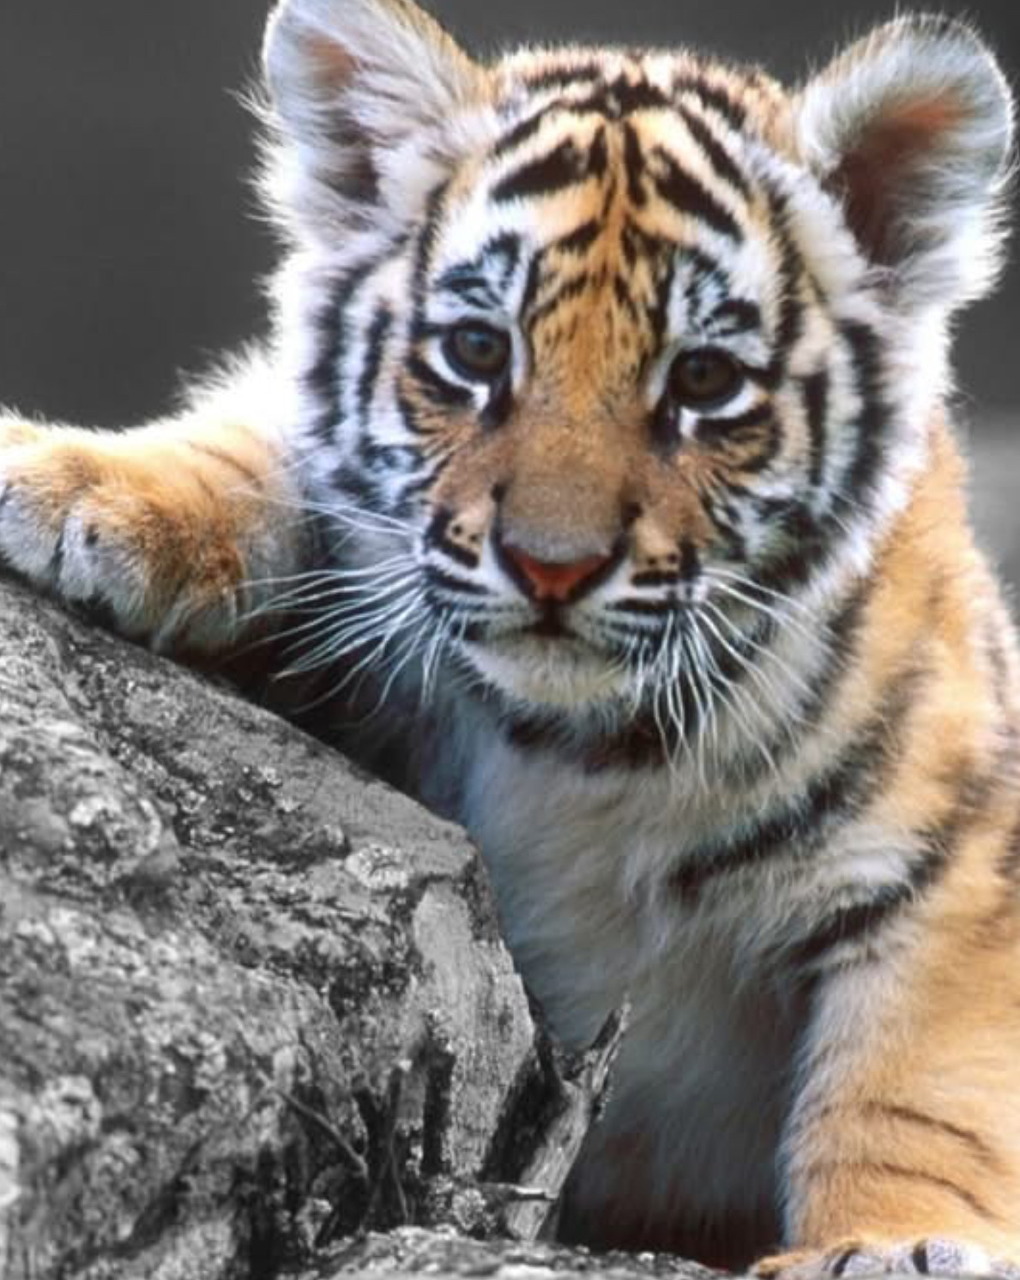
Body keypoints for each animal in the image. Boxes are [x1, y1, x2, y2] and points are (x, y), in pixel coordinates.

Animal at [2, 0, 1019, 1273]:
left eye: (704, 380)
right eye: (479, 353)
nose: (552, 565)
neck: (582, 750)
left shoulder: (957, 862)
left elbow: (919, 1084)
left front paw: (891, 1242)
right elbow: (261, 452)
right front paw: (67, 481)